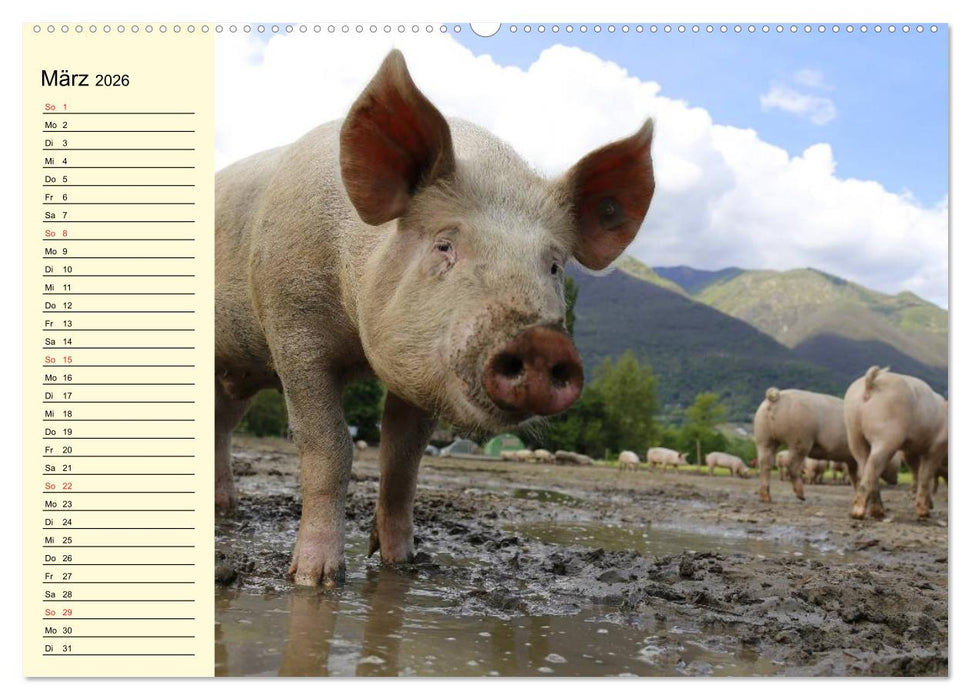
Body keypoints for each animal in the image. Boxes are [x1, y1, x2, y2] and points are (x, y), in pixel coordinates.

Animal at [214, 51, 656, 586]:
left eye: (553, 266)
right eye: (445, 245)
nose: (541, 343)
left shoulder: (422, 370)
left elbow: (403, 461)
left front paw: (404, 564)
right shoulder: (293, 329)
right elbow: (329, 448)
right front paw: (315, 578)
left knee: (222, 427)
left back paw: (226, 508)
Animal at [844, 367, 948, 520]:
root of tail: (870, 383)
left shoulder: (911, 450)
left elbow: (918, 473)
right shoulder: (937, 445)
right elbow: (925, 475)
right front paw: (924, 513)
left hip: (853, 432)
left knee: (864, 465)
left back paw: (878, 512)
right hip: (886, 434)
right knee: (872, 468)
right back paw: (858, 513)